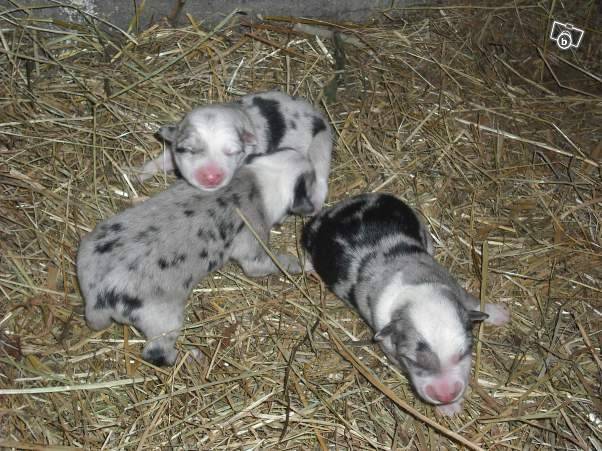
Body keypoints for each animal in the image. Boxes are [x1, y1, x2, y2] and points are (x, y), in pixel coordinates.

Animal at [78, 149, 317, 366]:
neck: (262, 179)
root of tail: (97, 295)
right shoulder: (254, 246)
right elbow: (272, 263)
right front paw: (305, 263)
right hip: (164, 320)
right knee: (156, 353)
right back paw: (192, 357)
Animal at [135, 90, 332, 213]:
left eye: (232, 152)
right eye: (188, 150)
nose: (211, 177)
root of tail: (317, 114)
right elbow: (163, 160)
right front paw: (140, 174)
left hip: (321, 145)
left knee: (321, 179)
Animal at [301, 193, 509, 415]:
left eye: (465, 352)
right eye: (412, 360)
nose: (445, 395)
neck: (415, 289)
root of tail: (339, 208)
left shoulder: (452, 286)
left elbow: (472, 301)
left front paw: (499, 314)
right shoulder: (385, 336)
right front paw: (450, 407)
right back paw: (308, 268)